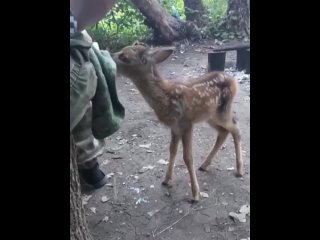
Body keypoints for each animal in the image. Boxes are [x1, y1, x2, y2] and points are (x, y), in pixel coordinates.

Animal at [111, 42, 244, 202]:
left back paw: (239, 170)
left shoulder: (186, 123)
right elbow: (172, 150)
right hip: (209, 116)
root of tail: (234, 80)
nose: (109, 56)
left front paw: (195, 194)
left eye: (124, 56)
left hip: (222, 111)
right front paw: (167, 180)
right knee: (224, 132)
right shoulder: (174, 127)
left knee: (236, 128)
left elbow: (188, 157)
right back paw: (205, 165)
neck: (166, 98)